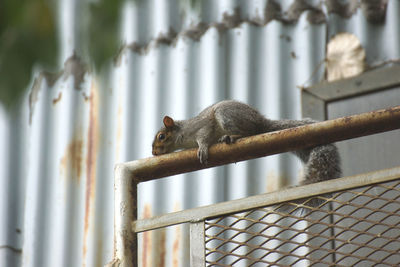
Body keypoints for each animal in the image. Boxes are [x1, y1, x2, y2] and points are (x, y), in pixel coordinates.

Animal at [151, 100, 340, 186]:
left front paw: (202, 149)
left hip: (226, 115)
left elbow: (204, 138)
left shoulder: (202, 128)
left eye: (161, 136)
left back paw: (231, 137)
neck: (182, 133)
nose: (153, 152)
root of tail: (261, 122)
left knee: (249, 132)